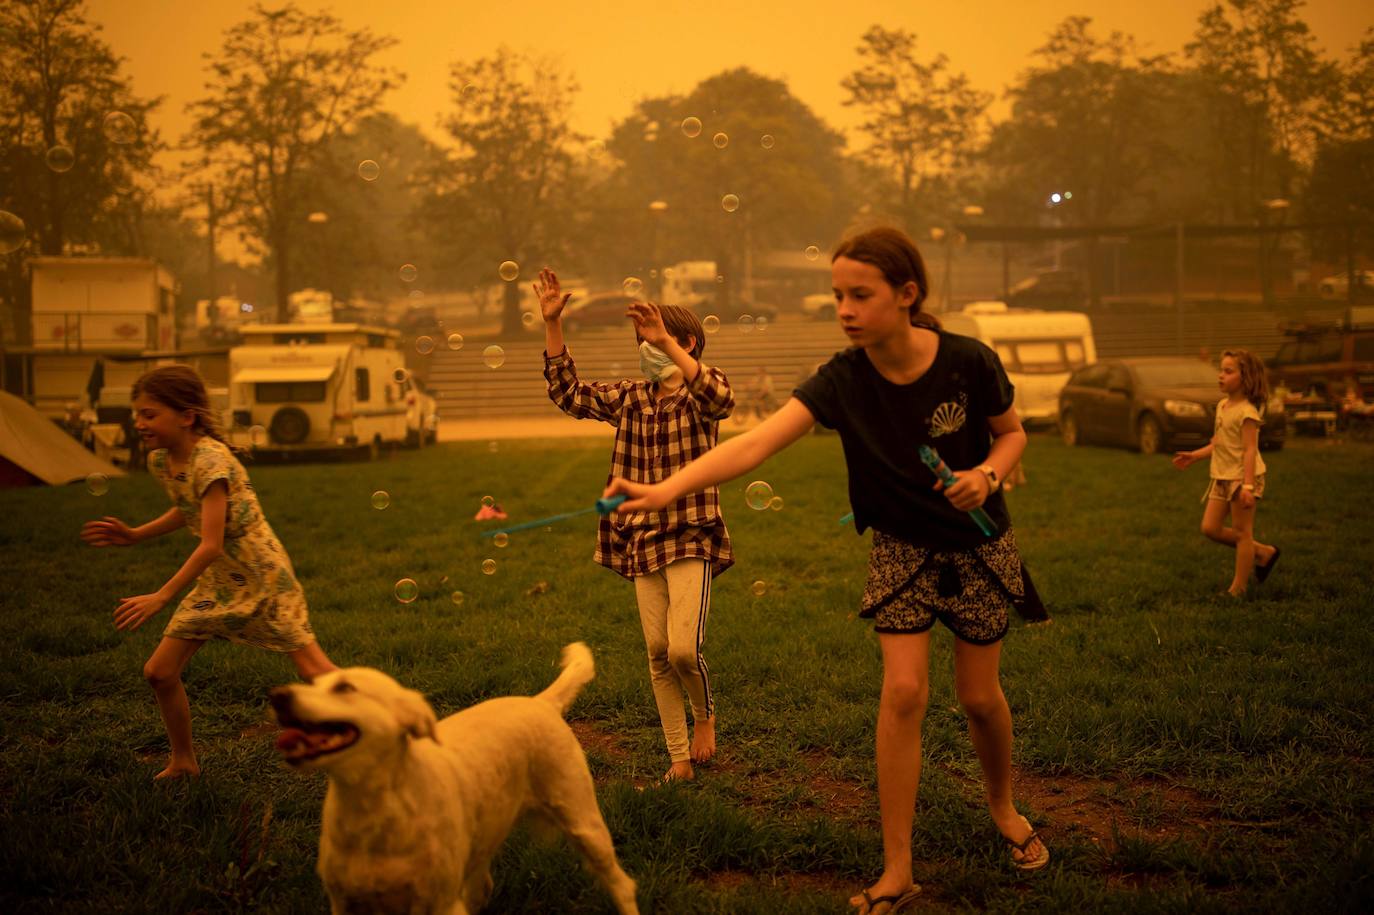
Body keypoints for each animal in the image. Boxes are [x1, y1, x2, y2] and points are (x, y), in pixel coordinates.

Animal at [273, 640, 643, 912]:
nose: (277, 695)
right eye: (311, 683)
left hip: (585, 825)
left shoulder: (439, 903)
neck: (375, 813)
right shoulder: (345, 903)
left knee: (623, 885)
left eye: (345, 687)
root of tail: (540, 702)